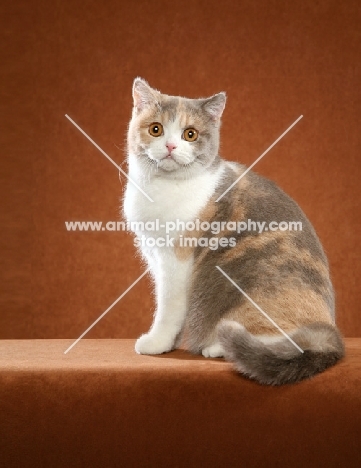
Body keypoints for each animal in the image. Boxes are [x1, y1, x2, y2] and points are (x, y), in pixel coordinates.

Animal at [123, 77, 344, 384]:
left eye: (190, 134)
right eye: (156, 129)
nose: (170, 145)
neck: (161, 188)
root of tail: (329, 332)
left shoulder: (175, 261)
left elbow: (168, 306)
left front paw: (158, 341)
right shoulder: (154, 256)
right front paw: (170, 343)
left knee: (284, 343)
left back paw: (217, 347)